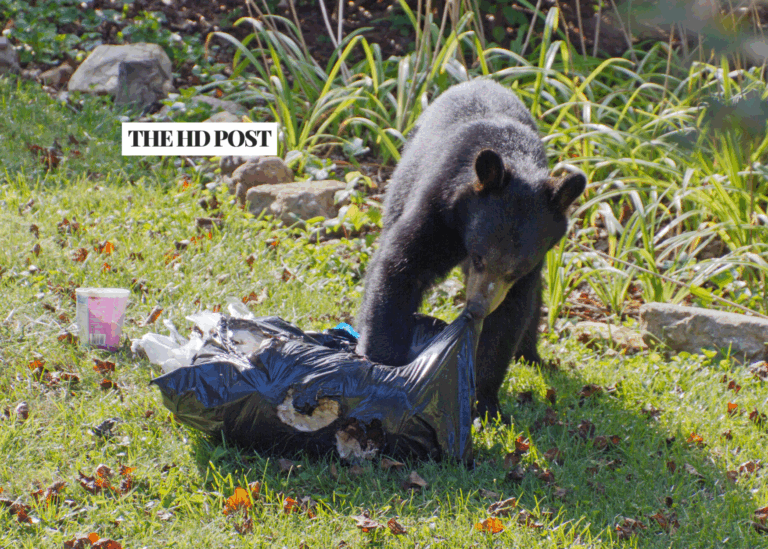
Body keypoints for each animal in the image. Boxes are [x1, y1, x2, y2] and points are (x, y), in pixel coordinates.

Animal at [356, 79, 586, 420]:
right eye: (479, 258)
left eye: (515, 270)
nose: (476, 308)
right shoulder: (438, 207)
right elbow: (401, 265)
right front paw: (383, 364)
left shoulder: (531, 264)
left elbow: (509, 315)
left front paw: (485, 402)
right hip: (401, 182)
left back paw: (531, 355)